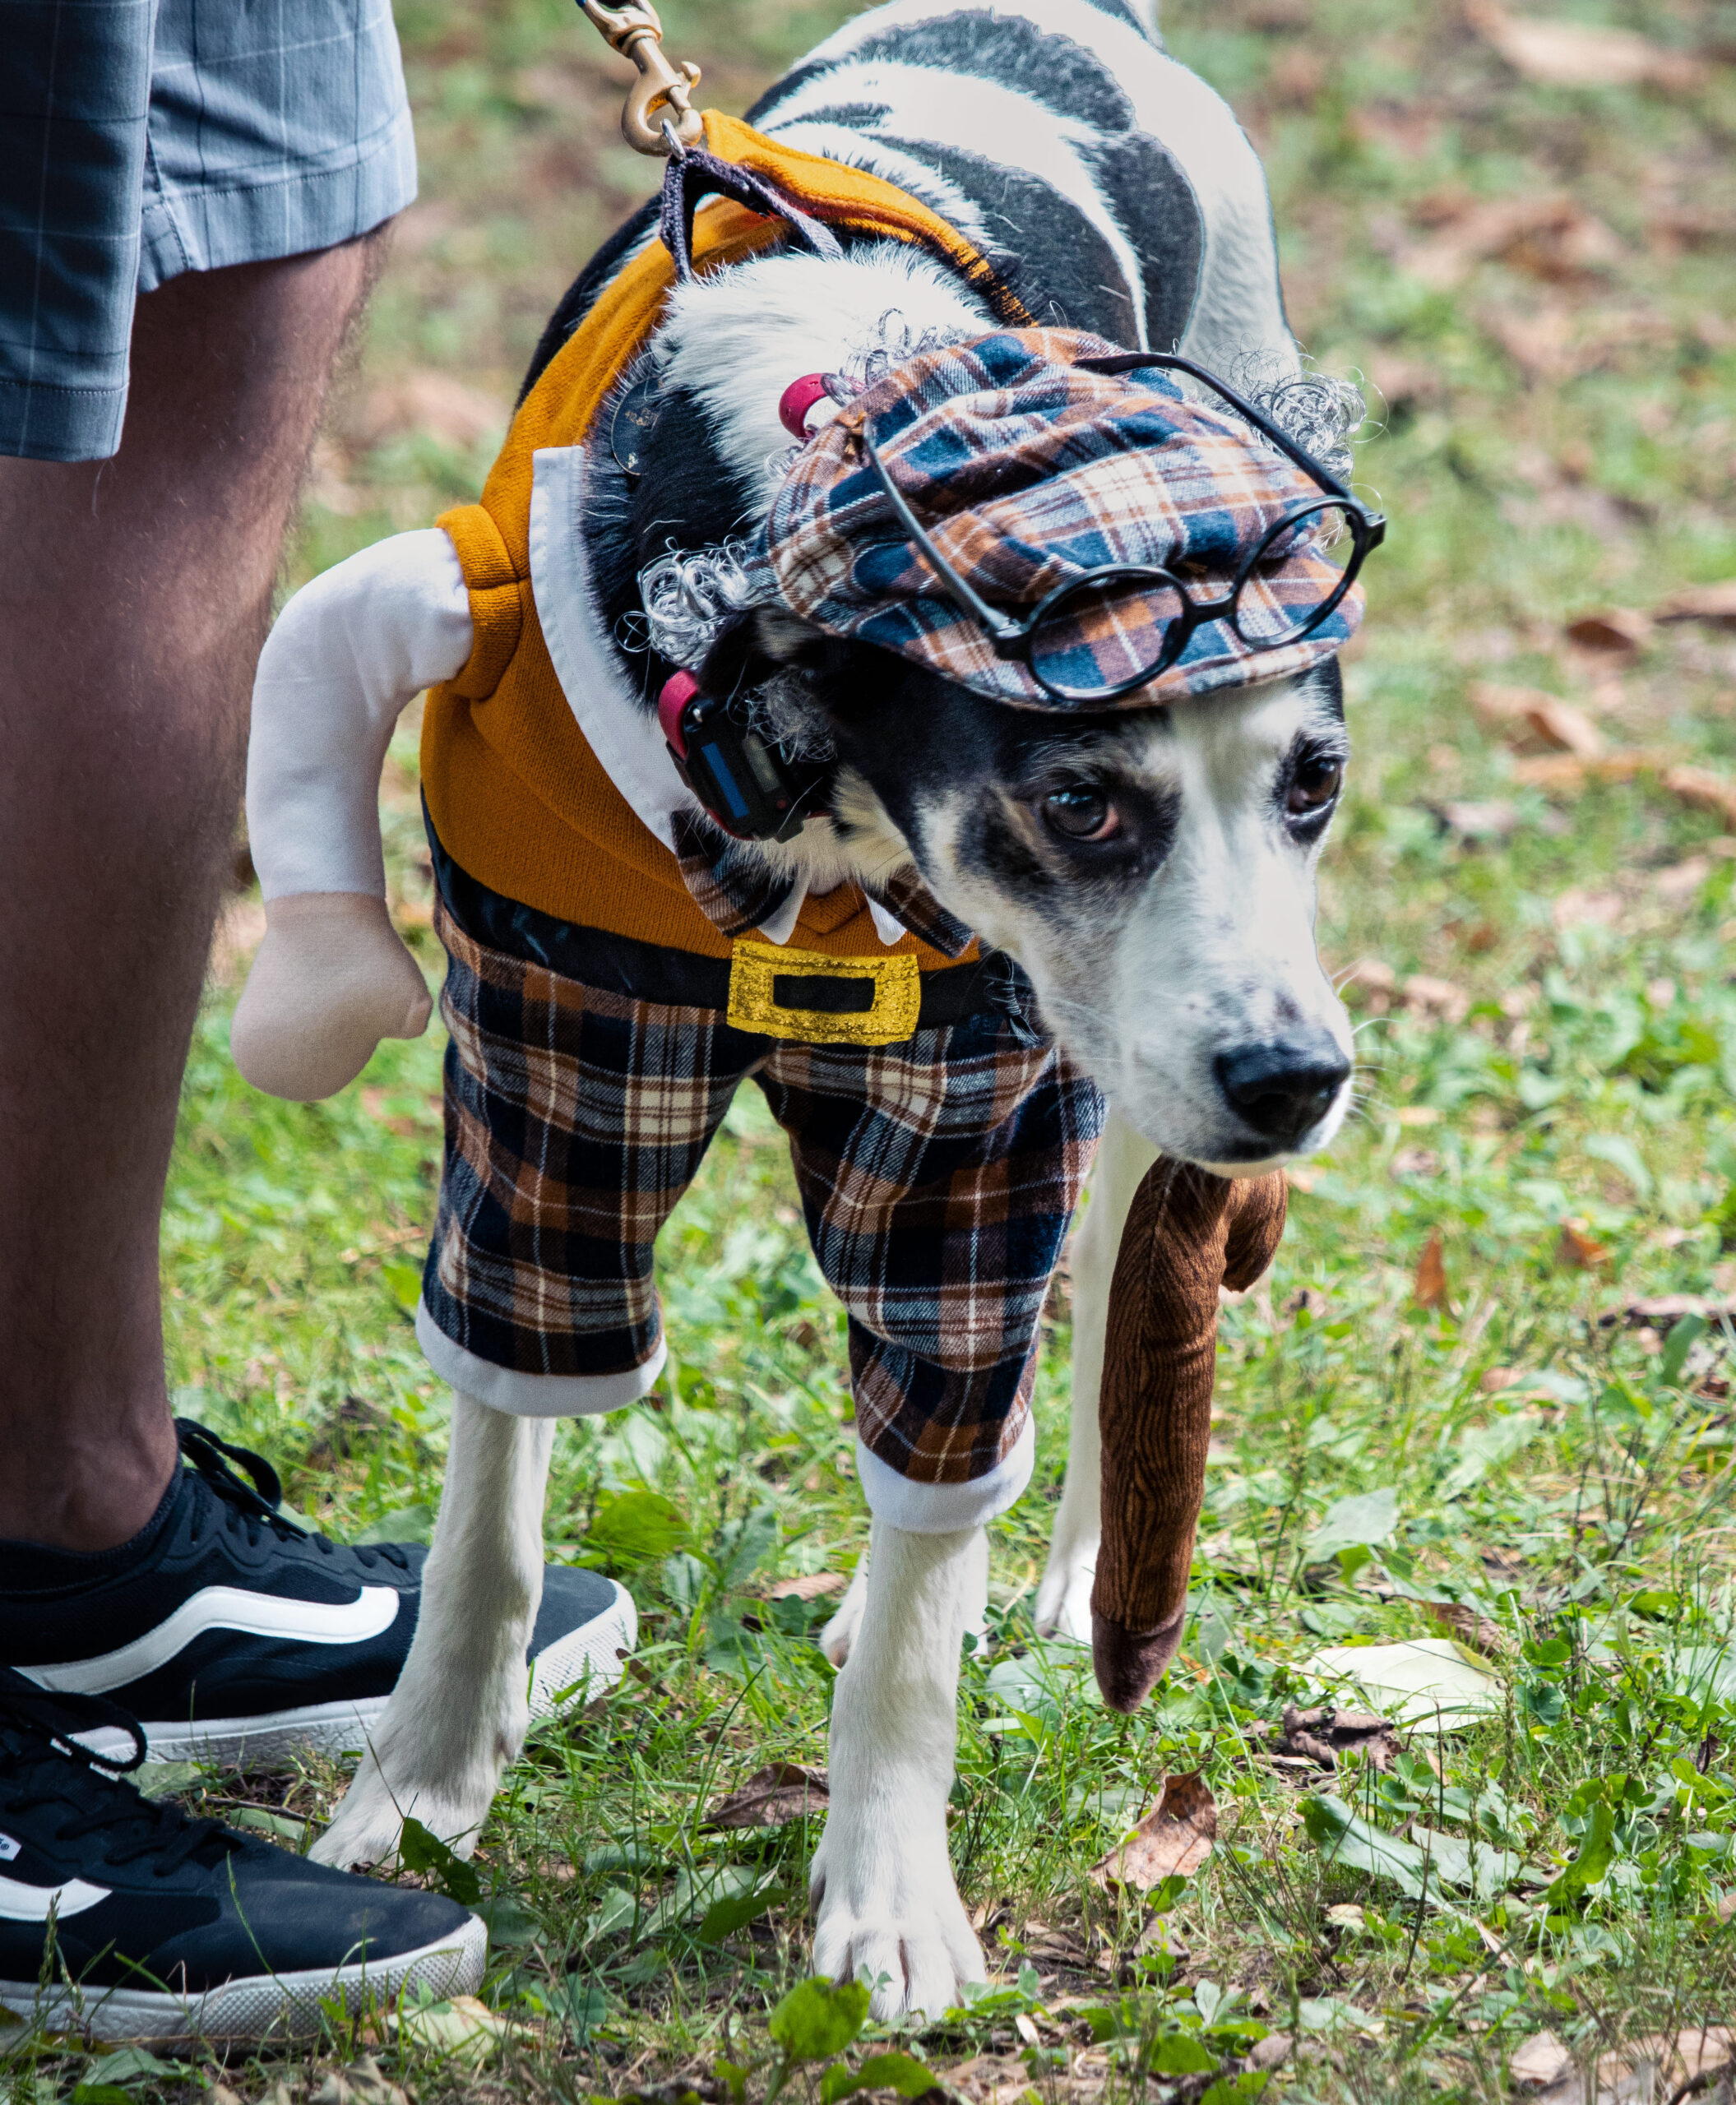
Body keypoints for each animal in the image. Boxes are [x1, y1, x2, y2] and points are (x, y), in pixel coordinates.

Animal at [236, 0, 1363, 2020]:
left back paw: (1054, 1569)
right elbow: (490, 1503)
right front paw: (419, 1792)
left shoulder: (973, 1123)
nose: (1296, 1078)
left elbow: (928, 1535)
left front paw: (887, 1898)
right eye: (1080, 800)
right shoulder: (550, 1065)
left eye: (1308, 783)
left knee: (1094, 1307)